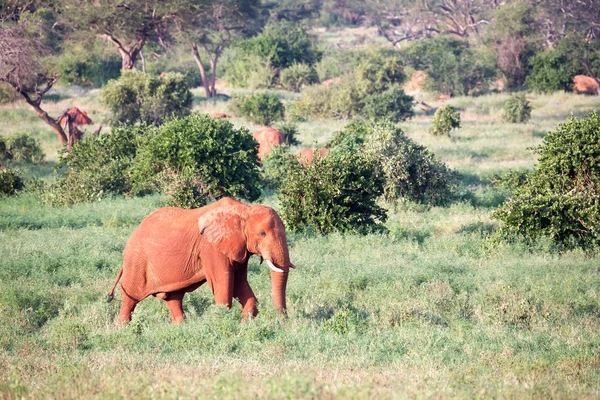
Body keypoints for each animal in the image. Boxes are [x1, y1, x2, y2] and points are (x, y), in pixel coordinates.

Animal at [109, 198, 296, 324]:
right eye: (262, 234)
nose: (283, 321)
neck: (244, 209)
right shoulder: (211, 247)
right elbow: (223, 282)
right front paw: (223, 322)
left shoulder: (239, 248)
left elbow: (240, 284)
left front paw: (243, 322)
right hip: (136, 260)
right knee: (130, 299)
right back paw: (122, 329)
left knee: (174, 298)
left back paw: (181, 327)